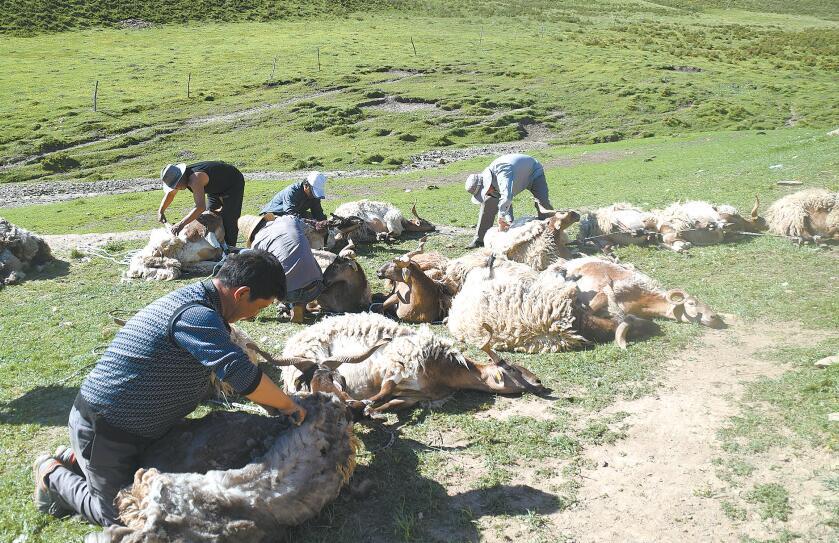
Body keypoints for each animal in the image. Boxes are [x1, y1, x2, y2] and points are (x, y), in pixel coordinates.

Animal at [278, 312, 548, 414]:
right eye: (512, 368)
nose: (538, 380)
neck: (445, 372)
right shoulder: (396, 366)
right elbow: (382, 392)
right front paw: (364, 404)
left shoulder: (413, 397)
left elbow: (391, 403)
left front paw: (371, 410)